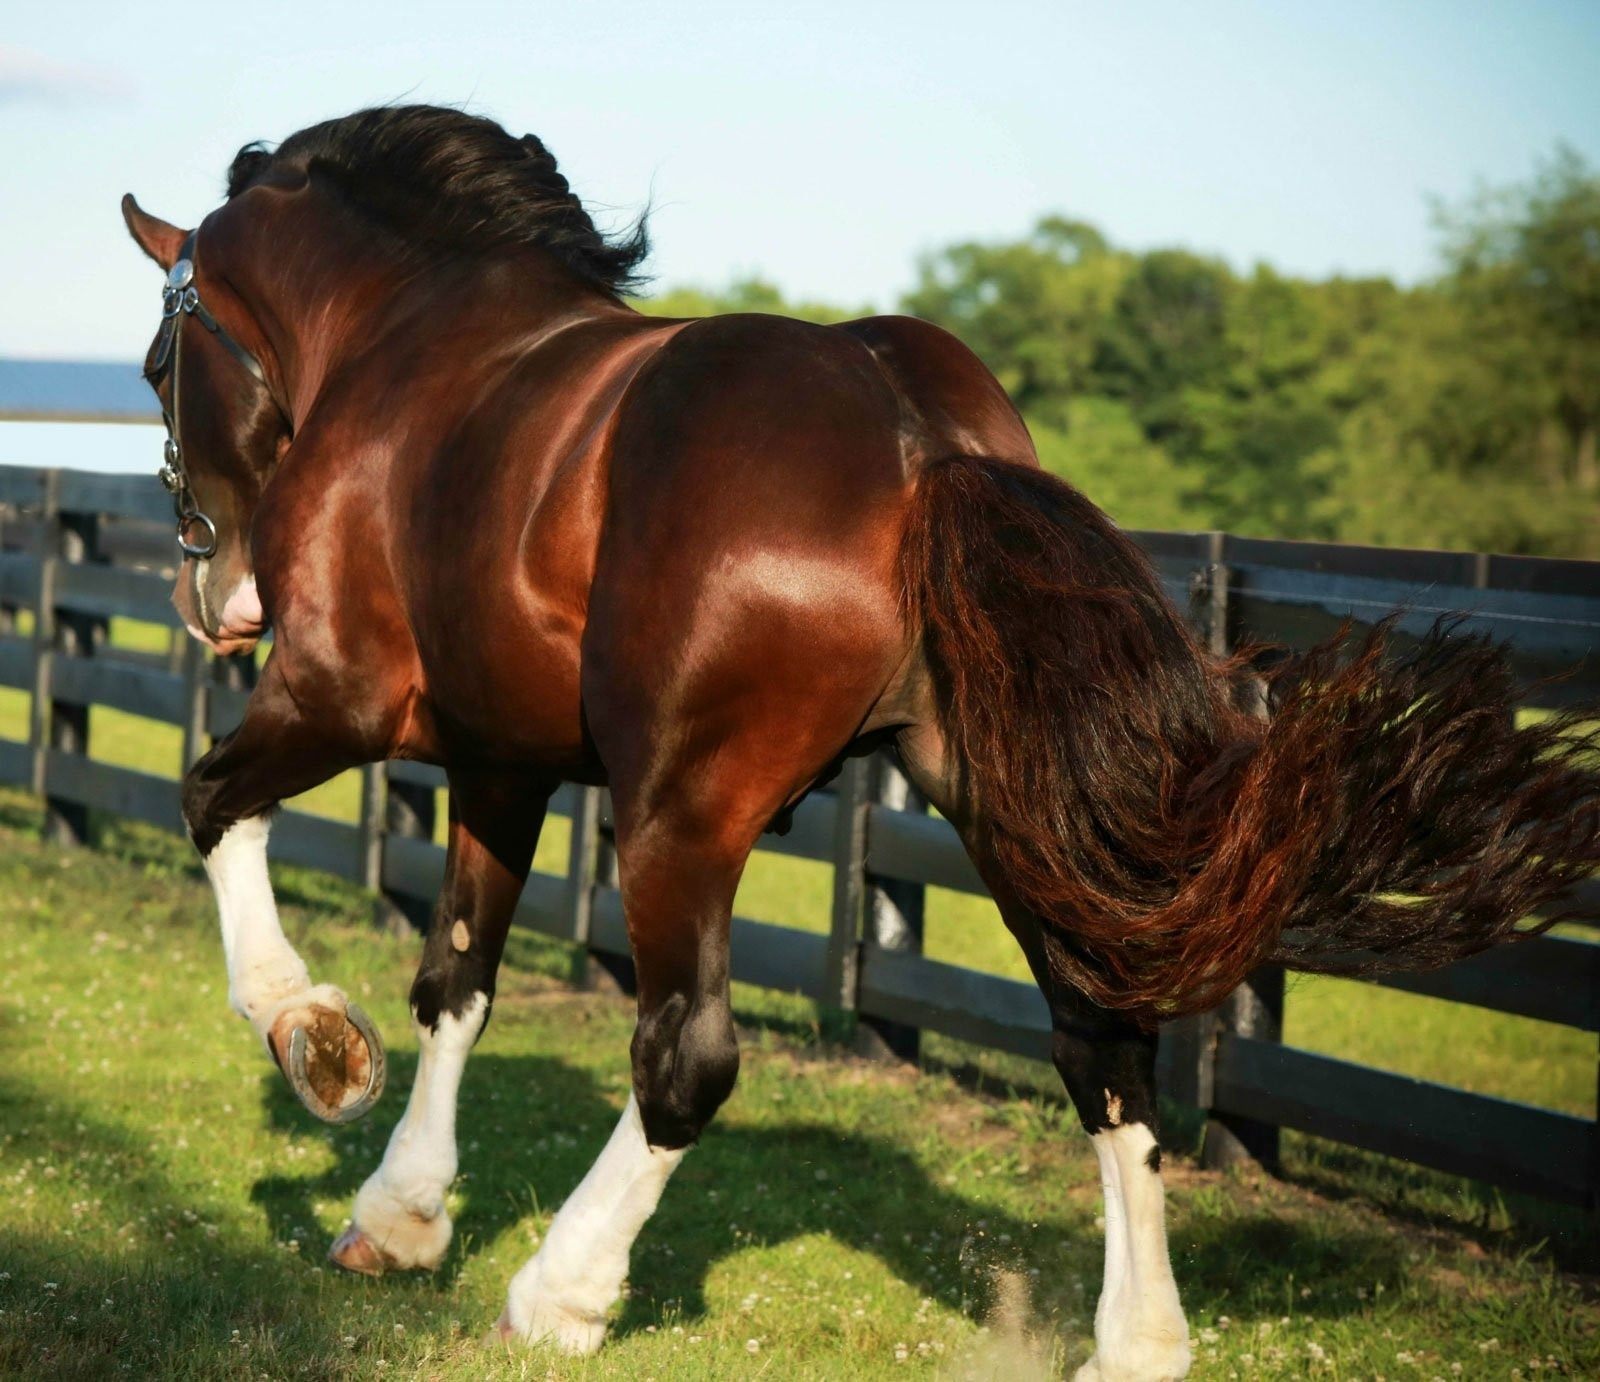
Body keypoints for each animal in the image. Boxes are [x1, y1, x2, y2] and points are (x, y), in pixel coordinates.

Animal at [124, 102, 1600, 1375]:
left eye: (154, 365)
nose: (212, 595)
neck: (421, 351)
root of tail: (917, 440)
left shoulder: (338, 697)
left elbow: (212, 805)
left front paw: (314, 1040)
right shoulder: (502, 760)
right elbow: (456, 978)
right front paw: (402, 1211)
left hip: (684, 813)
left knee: (688, 1055)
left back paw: (560, 1292)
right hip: (1007, 812)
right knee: (1104, 1048)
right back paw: (1136, 1344)